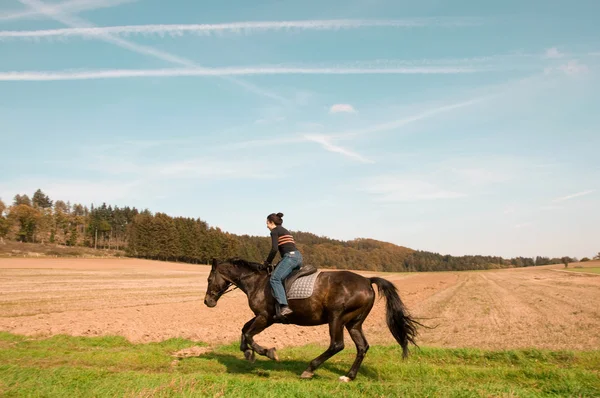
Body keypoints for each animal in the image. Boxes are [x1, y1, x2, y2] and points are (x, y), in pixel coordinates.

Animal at [204, 258, 424, 382]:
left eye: (208, 279)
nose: (207, 301)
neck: (257, 281)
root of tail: (367, 281)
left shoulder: (266, 317)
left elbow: (249, 334)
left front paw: (267, 352)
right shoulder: (262, 317)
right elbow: (243, 329)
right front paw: (247, 353)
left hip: (337, 318)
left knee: (337, 345)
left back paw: (309, 370)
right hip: (354, 323)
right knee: (362, 347)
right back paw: (348, 377)